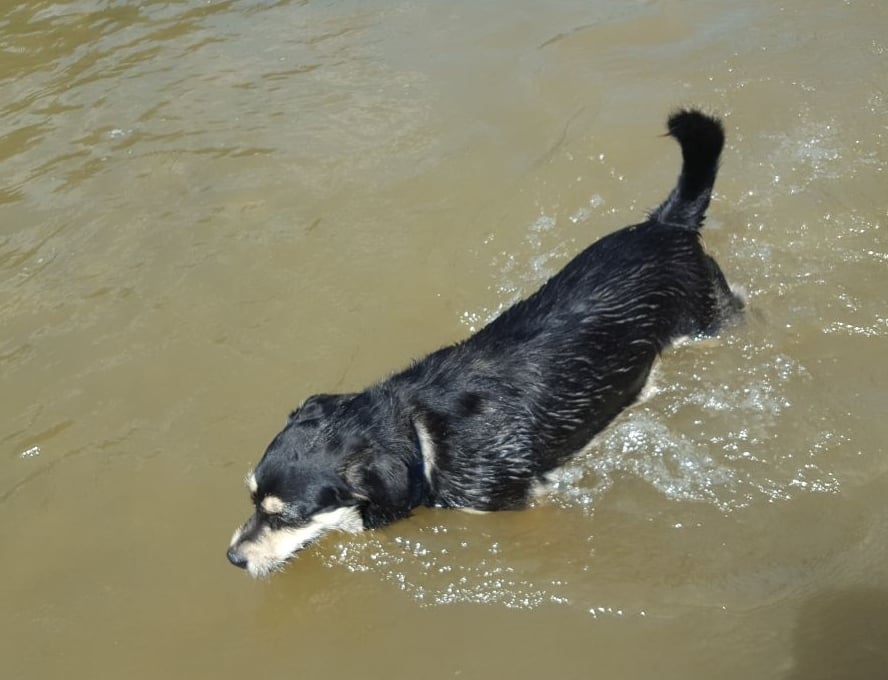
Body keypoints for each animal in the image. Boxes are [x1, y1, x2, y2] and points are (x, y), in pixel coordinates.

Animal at [227, 109, 743, 578]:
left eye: (287, 516)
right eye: (252, 498)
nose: (233, 557)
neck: (420, 436)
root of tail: (669, 225)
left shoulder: (517, 502)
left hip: (710, 320)